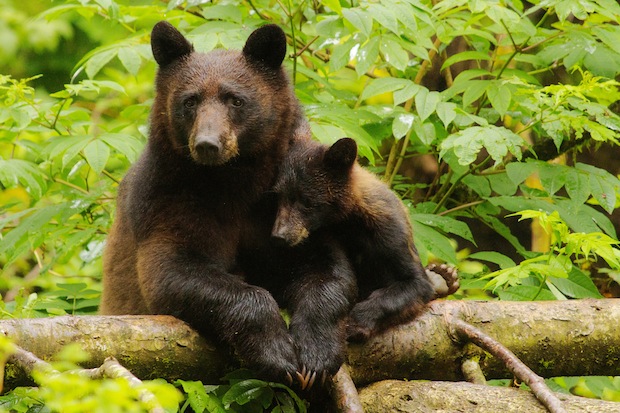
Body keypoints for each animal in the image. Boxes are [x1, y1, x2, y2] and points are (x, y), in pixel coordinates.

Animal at [100, 21, 356, 384]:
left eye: (235, 99)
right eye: (190, 101)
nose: (208, 144)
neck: (232, 182)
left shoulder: (290, 206)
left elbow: (327, 267)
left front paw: (316, 353)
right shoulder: (167, 201)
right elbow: (172, 269)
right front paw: (276, 353)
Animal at [274, 137, 444, 340]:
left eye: (306, 201)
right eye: (277, 196)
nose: (279, 235)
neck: (349, 221)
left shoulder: (390, 231)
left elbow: (416, 282)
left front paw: (356, 323)